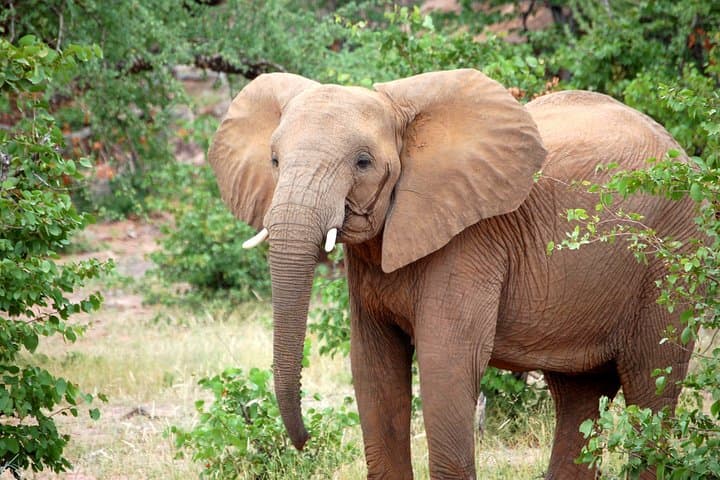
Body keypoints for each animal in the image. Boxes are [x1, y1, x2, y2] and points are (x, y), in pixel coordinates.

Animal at [207, 69, 695, 479]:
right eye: (273, 160)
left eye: (363, 162)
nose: (304, 440)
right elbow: (373, 367)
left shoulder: (471, 243)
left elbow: (446, 365)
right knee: (579, 396)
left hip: (671, 259)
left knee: (651, 384)